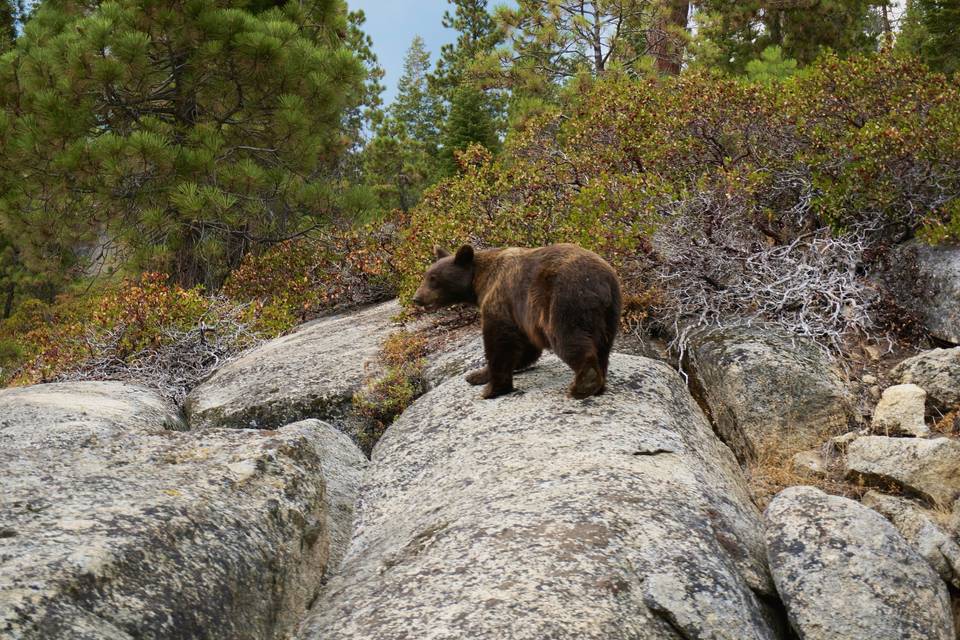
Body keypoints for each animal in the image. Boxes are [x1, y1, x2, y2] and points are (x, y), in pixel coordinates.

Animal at [410, 242, 624, 398]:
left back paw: (583, 385)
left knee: (568, 339)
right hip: (610, 313)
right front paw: (476, 375)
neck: (479, 282)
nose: (416, 298)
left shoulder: (502, 299)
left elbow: (500, 342)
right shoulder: (523, 315)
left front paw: (492, 389)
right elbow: (525, 345)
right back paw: (599, 385)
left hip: (565, 300)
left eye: (434, 278)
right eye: (426, 276)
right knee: (602, 347)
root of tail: (602, 282)